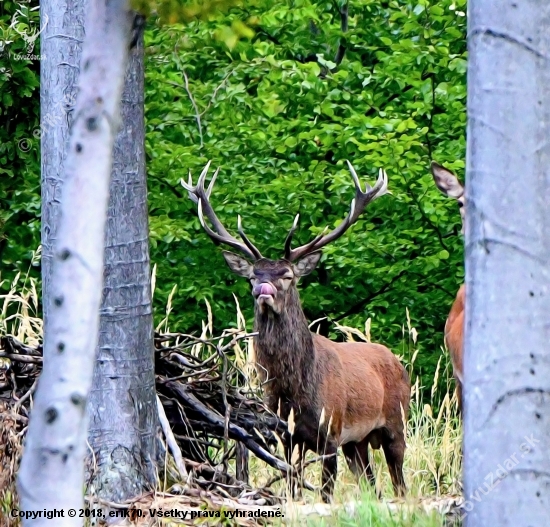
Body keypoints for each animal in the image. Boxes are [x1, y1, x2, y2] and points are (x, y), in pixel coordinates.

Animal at [183, 161, 412, 504]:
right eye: (253, 275)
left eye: (288, 275)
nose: (263, 290)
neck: (295, 389)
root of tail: (397, 361)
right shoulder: (286, 433)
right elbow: (292, 484)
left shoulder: (331, 430)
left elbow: (326, 492)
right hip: (357, 442)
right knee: (371, 482)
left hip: (396, 422)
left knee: (399, 480)